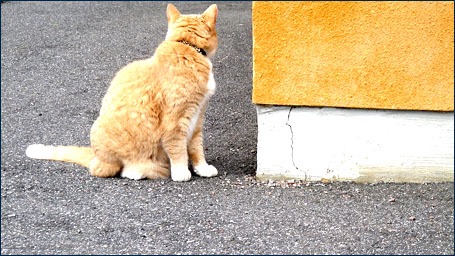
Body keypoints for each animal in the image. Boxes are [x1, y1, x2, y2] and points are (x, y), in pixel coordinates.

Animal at [25, 3, 220, 181]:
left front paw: (202, 168)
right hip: (105, 140)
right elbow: (177, 148)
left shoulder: (197, 117)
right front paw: (181, 172)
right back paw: (136, 171)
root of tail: (95, 157)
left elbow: (196, 148)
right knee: (108, 169)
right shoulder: (175, 121)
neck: (188, 49)